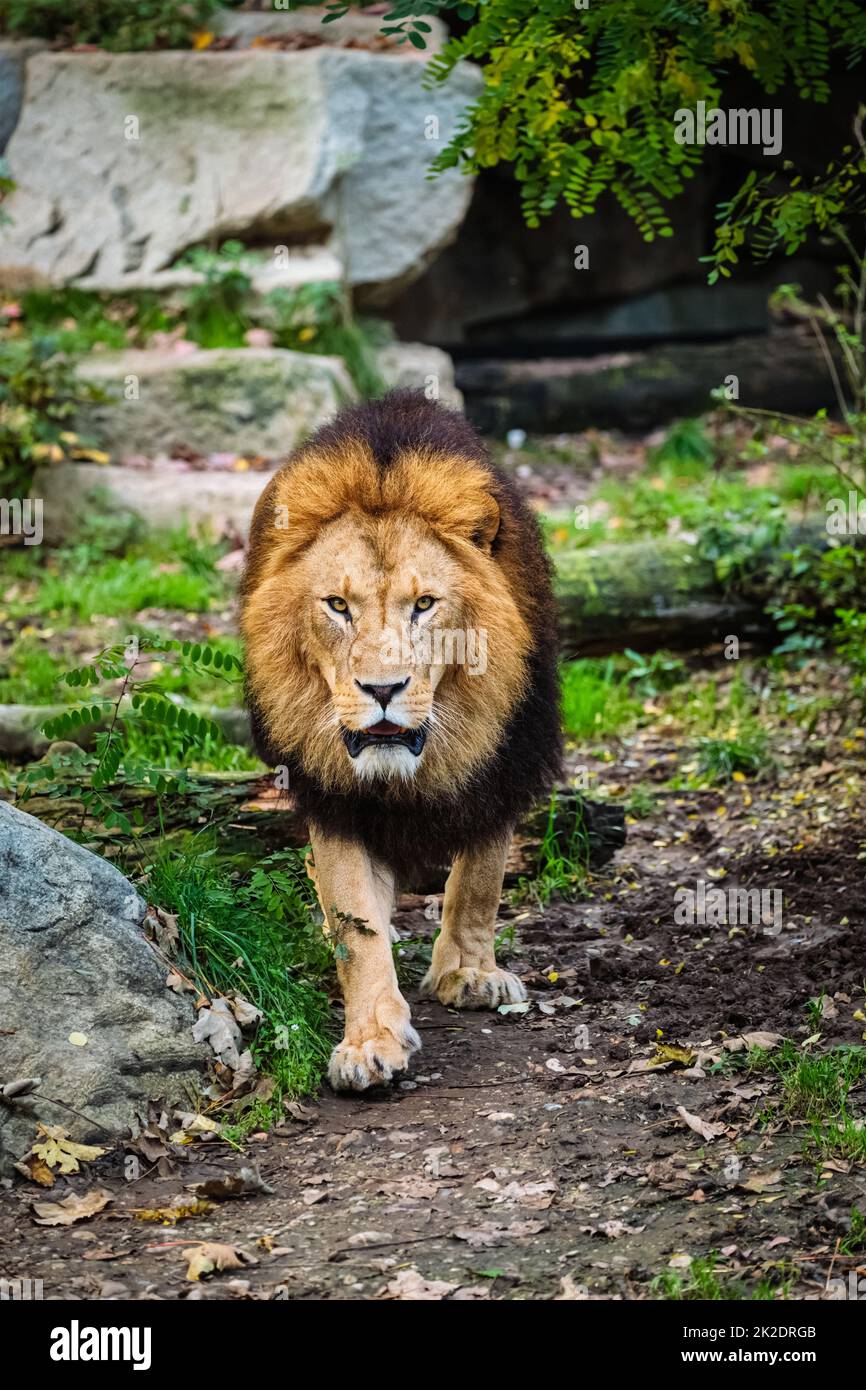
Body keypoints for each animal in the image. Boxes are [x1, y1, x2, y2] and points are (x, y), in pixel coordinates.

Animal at [240, 389, 558, 1084]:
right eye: (337, 606)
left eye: (425, 605)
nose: (382, 689)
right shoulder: (333, 796)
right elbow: (355, 921)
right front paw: (370, 1040)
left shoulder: (503, 764)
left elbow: (480, 879)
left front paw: (468, 973)